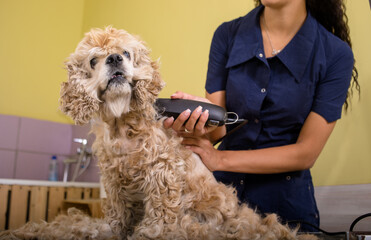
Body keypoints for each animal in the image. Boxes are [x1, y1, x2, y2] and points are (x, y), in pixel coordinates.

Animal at [0, 26, 316, 240]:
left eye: (126, 53)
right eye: (93, 61)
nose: (114, 59)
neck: (123, 125)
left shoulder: (161, 172)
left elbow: (161, 212)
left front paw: (148, 233)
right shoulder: (114, 180)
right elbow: (118, 214)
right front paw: (113, 231)